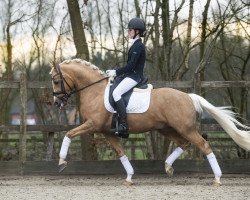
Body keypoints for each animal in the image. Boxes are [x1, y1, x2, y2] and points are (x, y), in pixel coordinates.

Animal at [49, 58, 250, 185]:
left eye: (56, 80)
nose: (57, 102)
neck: (95, 91)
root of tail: (188, 96)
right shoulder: (107, 132)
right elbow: (121, 152)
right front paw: (129, 177)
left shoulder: (92, 125)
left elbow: (69, 134)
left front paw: (61, 162)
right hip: (166, 129)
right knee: (184, 144)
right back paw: (168, 167)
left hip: (185, 128)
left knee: (203, 145)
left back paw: (217, 178)